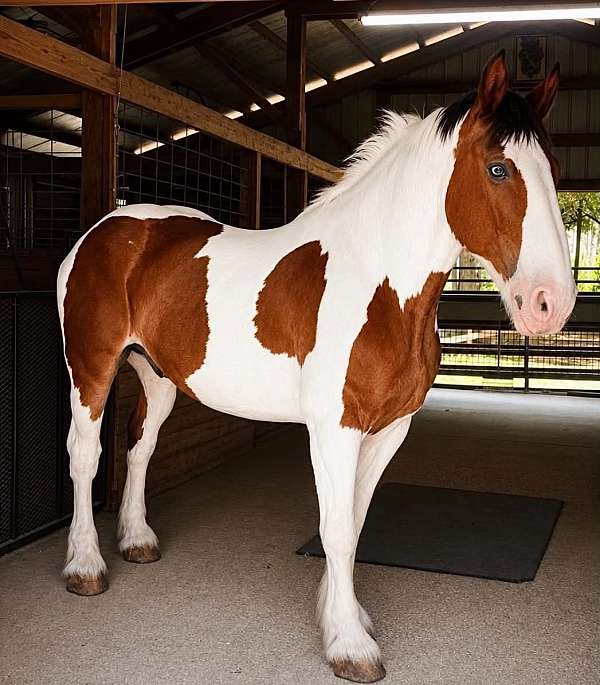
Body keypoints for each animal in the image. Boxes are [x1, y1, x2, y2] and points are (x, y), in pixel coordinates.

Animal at [57, 51, 576, 683]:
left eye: (552, 168)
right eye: (499, 169)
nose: (551, 303)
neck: (380, 286)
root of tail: (104, 229)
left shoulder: (388, 430)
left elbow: (353, 521)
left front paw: (341, 617)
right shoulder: (335, 430)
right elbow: (337, 531)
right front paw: (350, 645)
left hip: (157, 378)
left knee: (140, 449)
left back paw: (136, 541)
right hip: (91, 368)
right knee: (86, 455)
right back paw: (86, 567)